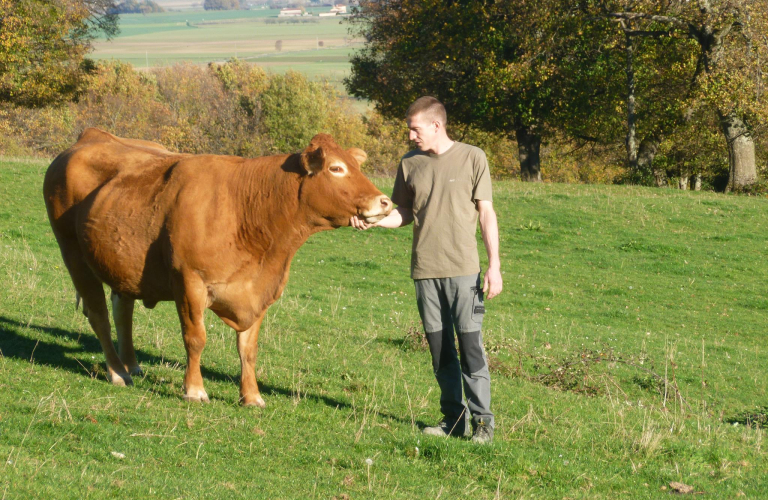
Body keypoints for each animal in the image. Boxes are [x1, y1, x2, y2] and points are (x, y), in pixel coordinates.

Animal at [42, 129, 390, 406]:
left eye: (357, 166)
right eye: (336, 168)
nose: (384, 202)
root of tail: (92, 136)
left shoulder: (258, 291)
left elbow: (248, 349)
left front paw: (252, 396)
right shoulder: (189, 282)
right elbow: (195, 338)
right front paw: (194, 390)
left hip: (120, 261)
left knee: (121, 309)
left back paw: (132, 365)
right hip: (73, 254)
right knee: (98, 314)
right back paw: (117, 372)